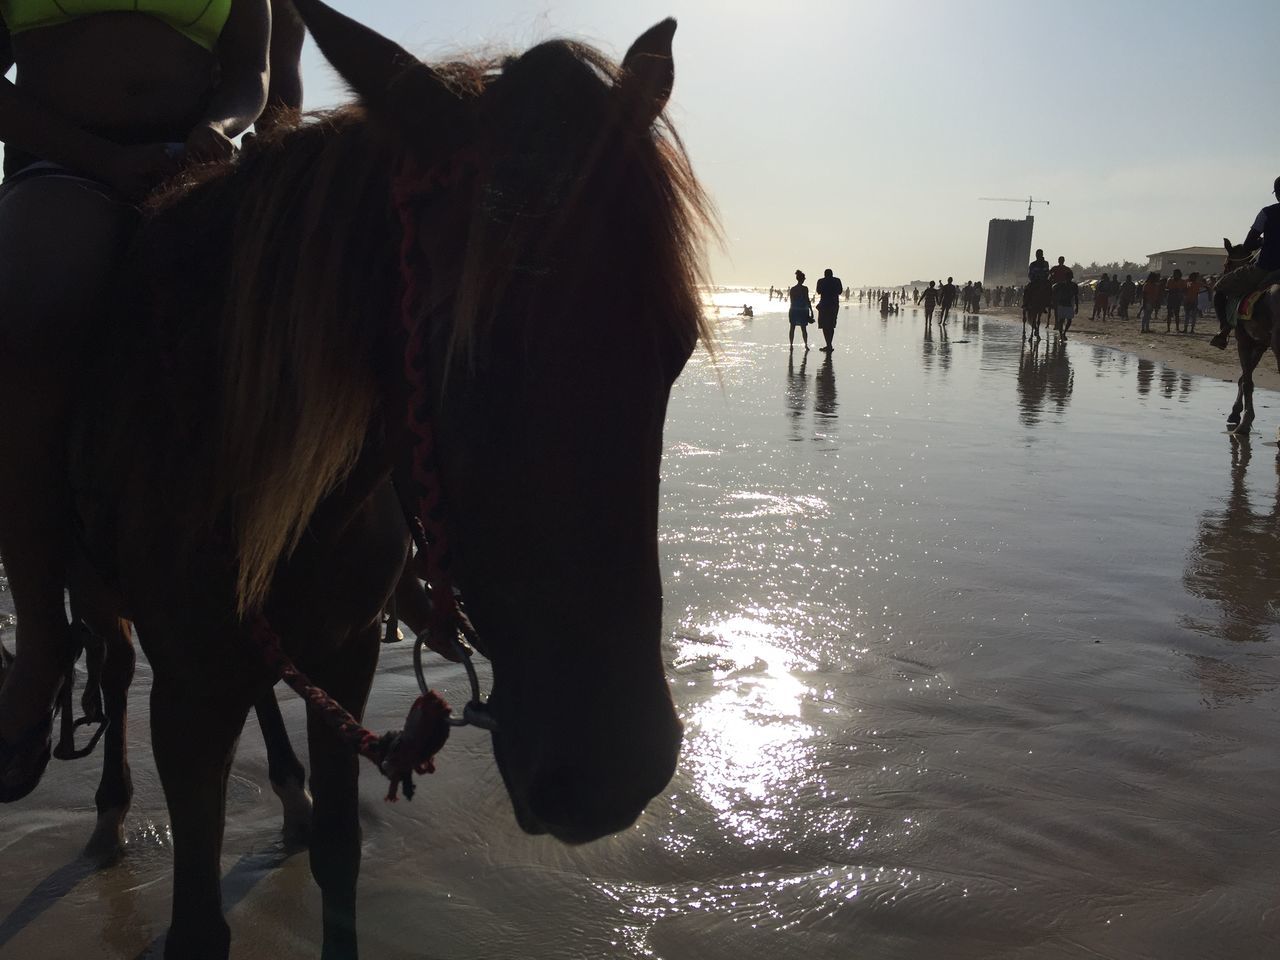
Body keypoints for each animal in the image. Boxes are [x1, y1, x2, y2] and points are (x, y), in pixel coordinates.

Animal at [32, 3, 711, 957]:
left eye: (675, 345)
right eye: (460, 348)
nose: (610, 776)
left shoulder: (345, 651)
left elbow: (339, 859)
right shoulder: (188, 691)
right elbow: (198, 920)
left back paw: (285, 790)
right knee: (117, 664)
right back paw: (109, 811)